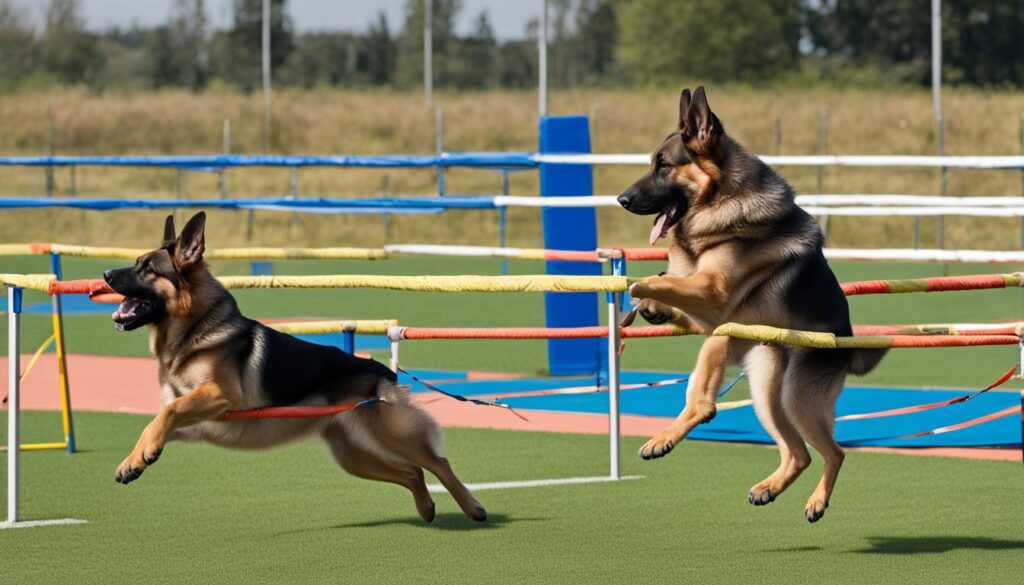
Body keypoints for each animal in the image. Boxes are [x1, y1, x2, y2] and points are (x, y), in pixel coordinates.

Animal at [101, 213, 485, 524]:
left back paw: (473, 507)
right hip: (353, 456)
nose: (104, 274)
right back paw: (427, 508)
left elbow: (166, 414)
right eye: (136, 263)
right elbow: (157, 421)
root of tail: (384, 372)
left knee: (437, 462)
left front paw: (141, 455)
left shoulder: (220, 394)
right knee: (412, 472)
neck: (193, 330)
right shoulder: (198, 419)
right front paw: (135, 459)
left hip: (392, 435)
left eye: (148, 269)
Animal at [614, 86, 888, 522]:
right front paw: (652, 309)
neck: (720, 201)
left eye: (664, 166)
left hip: (792, 395)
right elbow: (666, 282)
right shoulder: (704, 307)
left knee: (829, 450)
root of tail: (846, 343)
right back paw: (767, 487)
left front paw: (636, 291)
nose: (621, 199)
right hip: (765, 391)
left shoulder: (713, 292)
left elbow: (654, 280)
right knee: (798, 454)